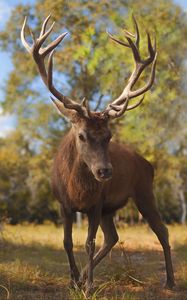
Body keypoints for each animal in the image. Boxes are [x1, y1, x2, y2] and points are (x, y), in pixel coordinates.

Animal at [21, 15, 175, 294]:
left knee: (162, 230)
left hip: (144, 191)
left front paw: (90, 286)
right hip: (111, 209)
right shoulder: (64, 204)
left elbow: (89, 243)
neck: (77, 191)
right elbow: (67, 242)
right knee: (113, 237)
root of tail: (148, 164)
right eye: (82, 135)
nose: (105, 171)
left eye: (109, 136)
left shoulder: (96, 203)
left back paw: (170, 280)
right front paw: (74, 281)